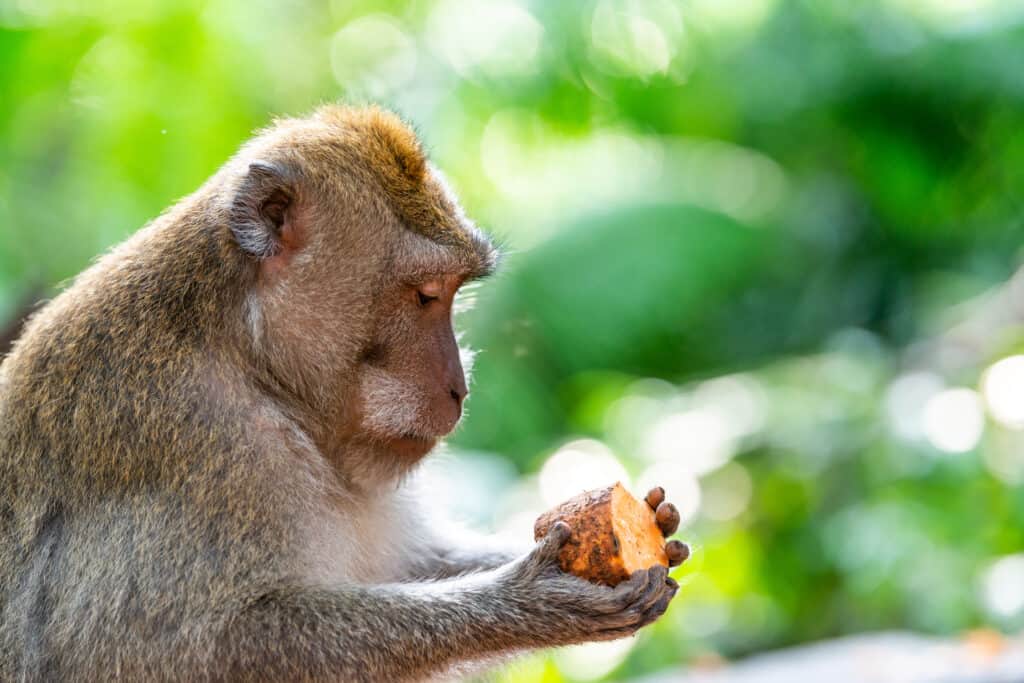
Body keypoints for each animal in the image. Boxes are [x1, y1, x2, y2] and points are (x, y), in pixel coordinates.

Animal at [2, 107, 688, 683]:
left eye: (451, 293)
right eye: (424, 294)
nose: (460, 387)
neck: (249, 358)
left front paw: (651, 524)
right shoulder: (200, 443)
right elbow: (178, 648)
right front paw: (530, 601)